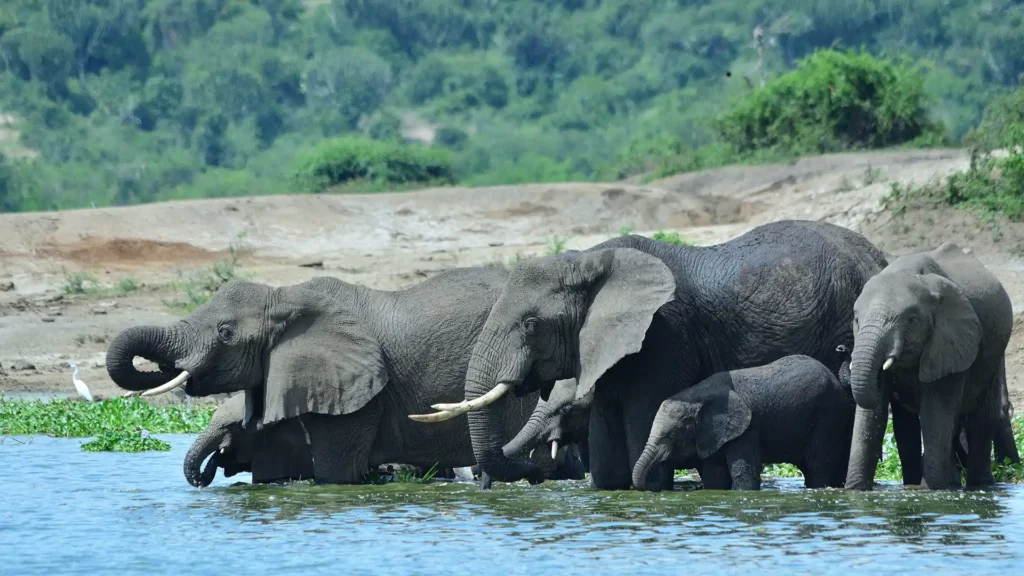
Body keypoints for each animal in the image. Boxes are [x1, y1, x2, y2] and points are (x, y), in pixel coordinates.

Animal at [630, 354, 856, 487]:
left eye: (670, 436)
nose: (648, 484)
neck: (696, 397)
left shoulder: (746, 429)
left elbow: (742, 473)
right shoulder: (711, 434)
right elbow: (714, 476)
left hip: (829, 416)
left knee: (818, 467)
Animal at [843, 241, 1019, 487]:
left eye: (911, 321)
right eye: (857, 320)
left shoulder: (951, 342)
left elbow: (934, 412)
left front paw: (929, 491)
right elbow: (871, 416)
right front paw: (854, 490)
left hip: (994, 353)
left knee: (982, 418)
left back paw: (978, 485)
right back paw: (947, 485)